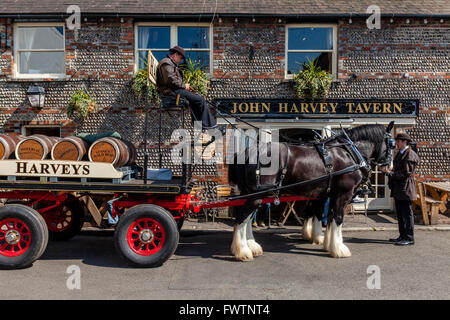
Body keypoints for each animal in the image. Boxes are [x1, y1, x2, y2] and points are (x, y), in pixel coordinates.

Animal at [229, 122, 394, 260]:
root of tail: (248, 151)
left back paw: (251, 246)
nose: (390, 167)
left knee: (247, 218)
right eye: (392, 145)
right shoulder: (343, 194)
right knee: (242, 218)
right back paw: (243, 251)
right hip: (257, 195)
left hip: (252, 193)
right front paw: (339, 249)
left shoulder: (327, 194)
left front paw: (325, 243)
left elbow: (324, 216)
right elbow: (337, 218)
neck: (349, 153)